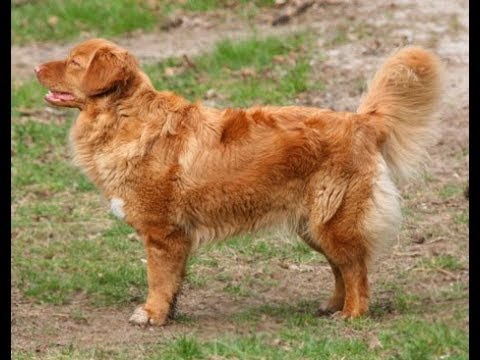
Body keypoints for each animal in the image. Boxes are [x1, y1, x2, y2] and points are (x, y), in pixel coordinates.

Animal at [34, 38, 442, 324]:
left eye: (74, 62)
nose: (36, 67)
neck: (123, 116)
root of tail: (361, 121)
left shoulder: (162, 234)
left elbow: (158, 279)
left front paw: (151, 314)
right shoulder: (176, 238)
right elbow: (174, 281)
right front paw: (170, 314)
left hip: (334, 221)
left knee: (356, 268)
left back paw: (353, 314)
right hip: (313, 226)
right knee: (341, 267)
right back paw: (331, 306)